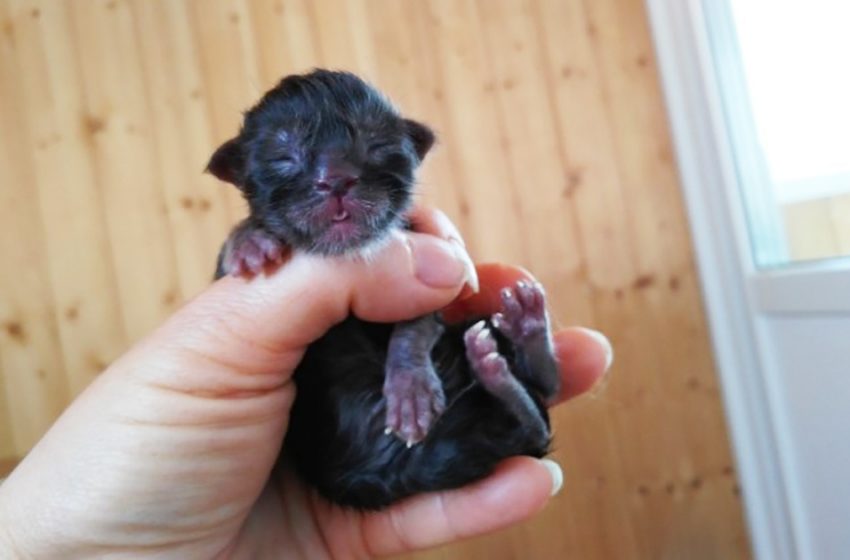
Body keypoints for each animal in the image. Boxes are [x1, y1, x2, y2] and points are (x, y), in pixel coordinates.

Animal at [209, 69, 560, 508]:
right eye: (282, 157)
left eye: (377, 146)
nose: (336, 180)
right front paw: (248, 240)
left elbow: (419, 321)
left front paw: (410, 388)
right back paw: (501, 362)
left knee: (543, 396)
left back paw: (522, 335)